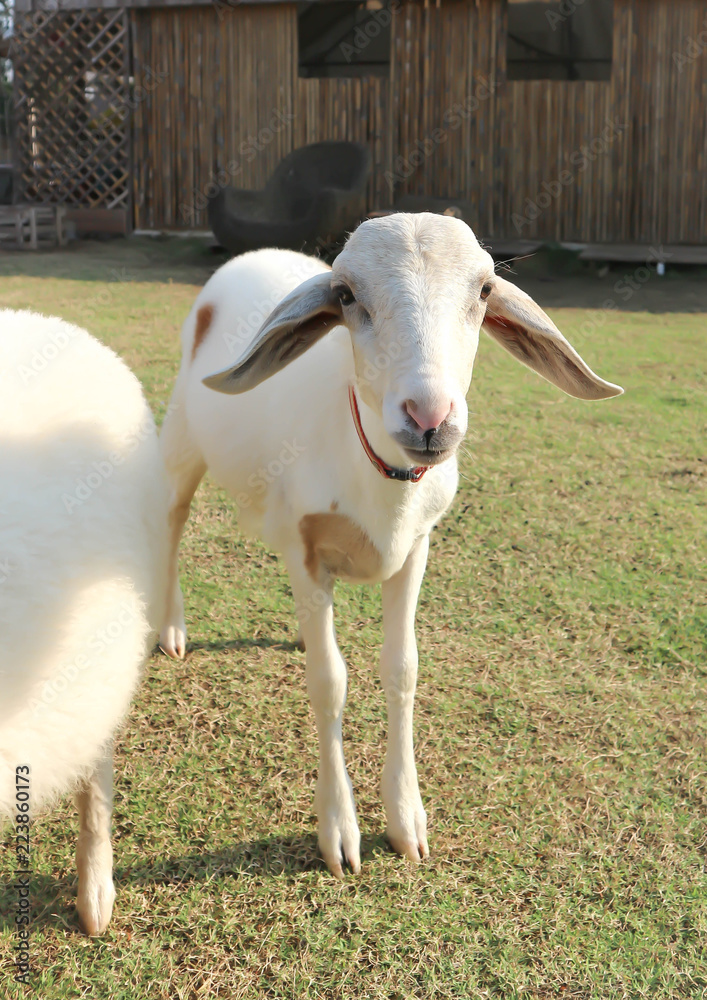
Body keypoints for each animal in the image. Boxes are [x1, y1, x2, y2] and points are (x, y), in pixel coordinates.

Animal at [159, 212, 622, 876]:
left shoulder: (416, 548)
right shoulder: (304, 548)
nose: (429, 417)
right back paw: (171, 629)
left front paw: (407, 822)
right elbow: (329, 682)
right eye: (347, 295)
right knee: (171, 515)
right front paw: (339, 832)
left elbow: (402, 668)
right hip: (180, 437)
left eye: (485, 290)